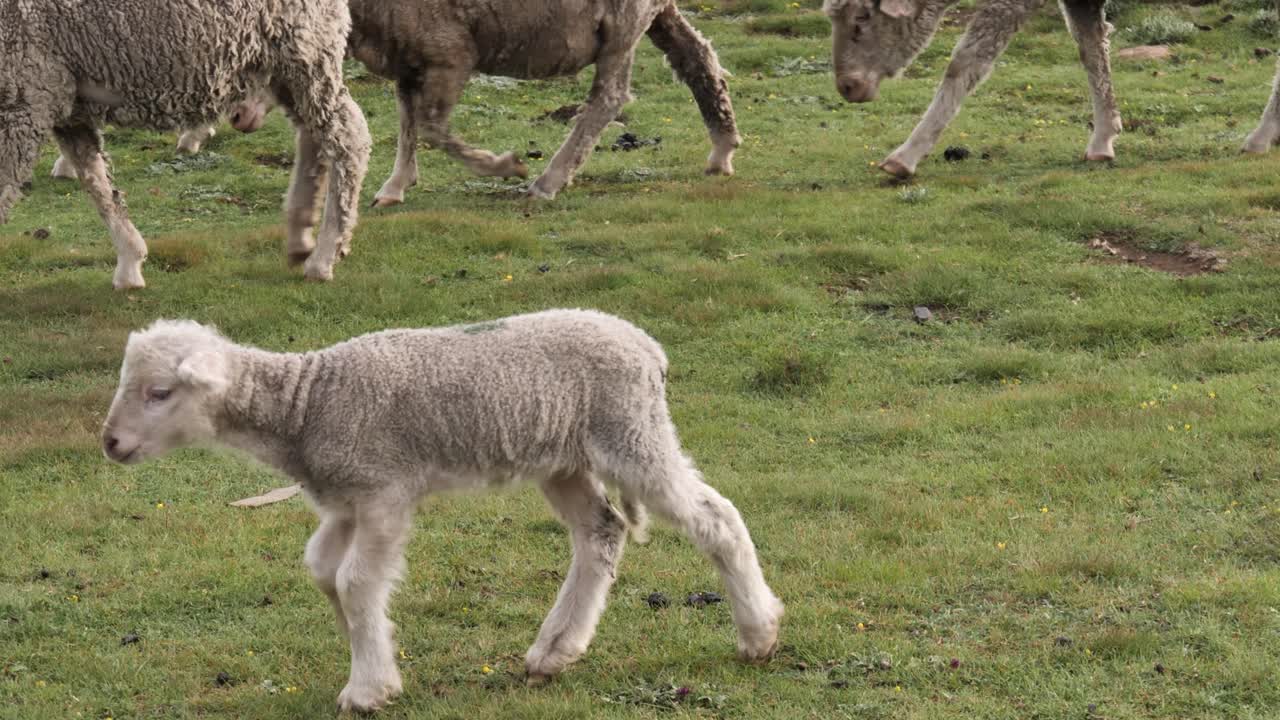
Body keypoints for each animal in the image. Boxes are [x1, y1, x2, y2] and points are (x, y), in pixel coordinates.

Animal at [0, 0, 371, 289]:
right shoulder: (58, 96)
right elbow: (97, 181)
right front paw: (130, 261)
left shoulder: (22, 98)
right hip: (286, 62)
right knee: (314, 137)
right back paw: (300, 236)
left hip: (305, 49)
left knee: (348, 137)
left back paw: (324, 256)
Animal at [101, 310, 784, 713]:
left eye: (159, 392)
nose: (108, 442)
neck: (304, 404)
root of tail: (647, 347)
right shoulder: (345, 499)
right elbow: (324, 571)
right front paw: (369, 651)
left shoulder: (383, 491)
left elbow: (355, 581)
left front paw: (368, 687)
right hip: (563, 458)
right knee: (602, 532)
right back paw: (555, 650)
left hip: (630, 432)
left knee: (716, 518)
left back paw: (758, 634)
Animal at [823, 0, 1280, 177]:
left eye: (863, 16)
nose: (847, 85)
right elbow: (1091, 49)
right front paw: (1102, 139)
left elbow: (965, 63)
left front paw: (906, 155)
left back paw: (1259, 138)